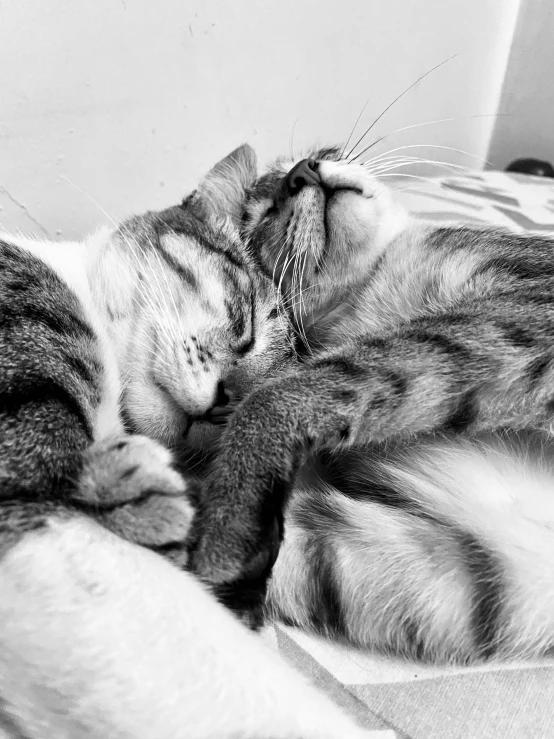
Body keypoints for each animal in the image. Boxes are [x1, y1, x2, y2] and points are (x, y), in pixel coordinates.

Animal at [187, 143, 554, 664]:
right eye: (262, 214)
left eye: (325, 151)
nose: (302, 172)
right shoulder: (481, 569)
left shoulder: (514, 311)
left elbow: (285, 391)